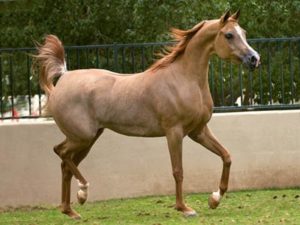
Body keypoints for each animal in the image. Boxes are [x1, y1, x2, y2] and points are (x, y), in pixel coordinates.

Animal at [34, 11, 260, 220]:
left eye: (244, 33)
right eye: (229, 35)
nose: (254, 59)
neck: (184, 79)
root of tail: (63, 78)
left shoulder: (198, 131)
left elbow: (226, 156)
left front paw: (214, 199)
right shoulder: (174, 132)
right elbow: (178, 170)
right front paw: (184, 208)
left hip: (88, 139)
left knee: (66, 164)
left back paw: (70, 210)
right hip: (81, 137)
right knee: (60, 152)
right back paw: (83, 192)